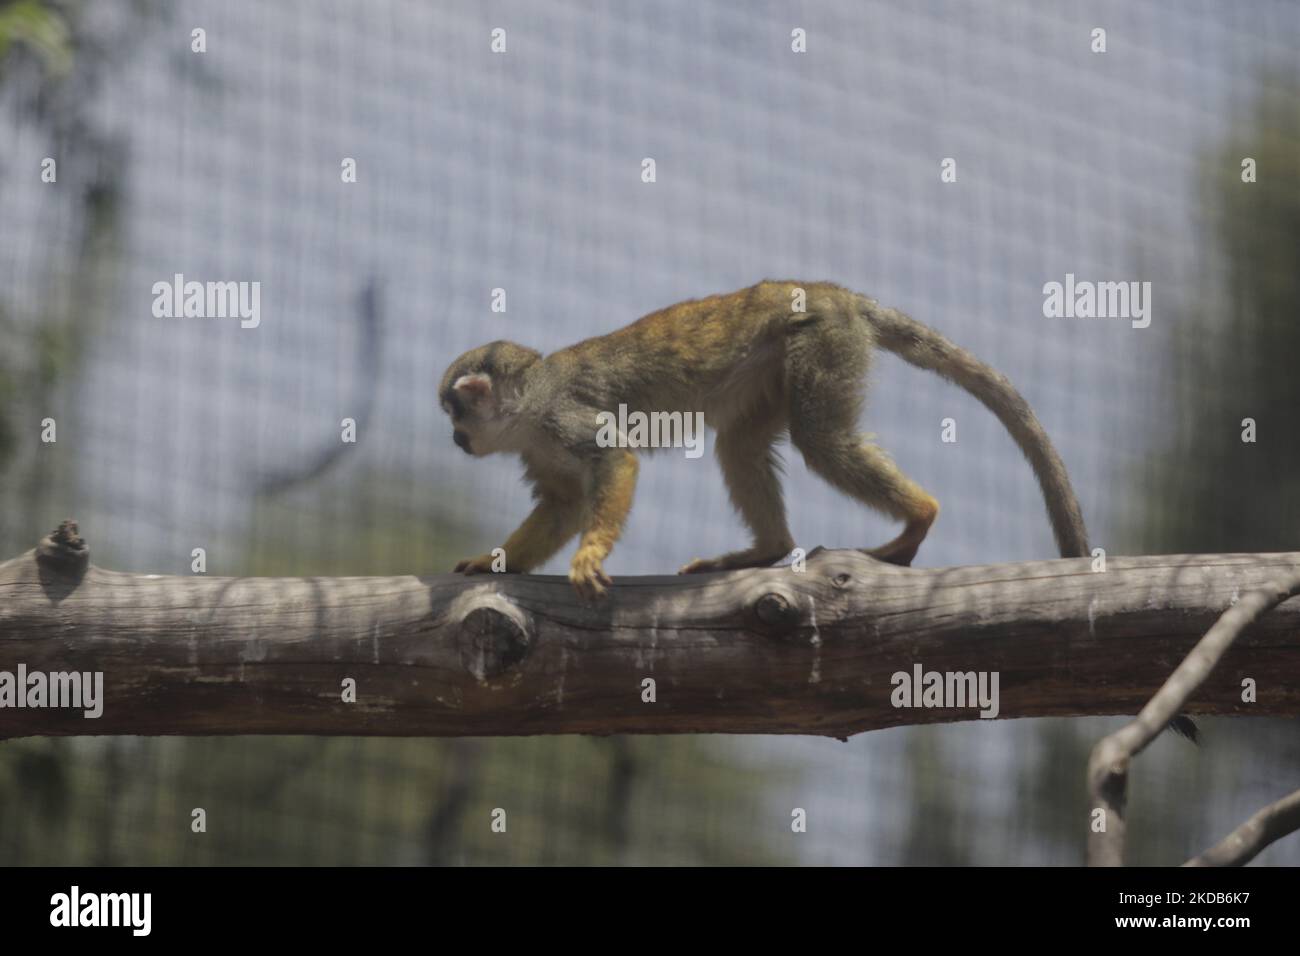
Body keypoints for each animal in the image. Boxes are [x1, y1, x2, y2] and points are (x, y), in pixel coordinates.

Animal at [441, 280, 1092, 600]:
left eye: (454, 413)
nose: (454, 440)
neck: (528, 405)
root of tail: (834, 292)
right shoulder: (538, 443)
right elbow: (564, 501)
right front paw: (497, 561)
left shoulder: (560, 417)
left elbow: (616, 460)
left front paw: (589, 556)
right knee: (741, 444)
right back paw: (769, 549)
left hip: (820, 341)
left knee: (820, 439)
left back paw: (920, 517)